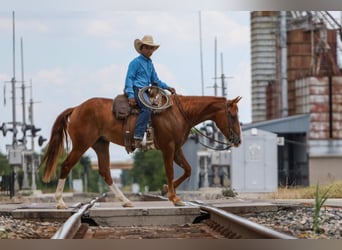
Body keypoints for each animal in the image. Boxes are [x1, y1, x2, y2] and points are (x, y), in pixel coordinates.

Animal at [38, 93, 242, 208]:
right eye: (232, 115)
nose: (238, 140)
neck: (179, 113)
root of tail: (76, 109)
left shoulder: (177, 149)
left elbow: (188, 170)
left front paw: (166, 190)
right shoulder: (168, 148)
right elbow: (170, 171)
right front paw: (174, 197)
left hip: (101, 144)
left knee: (105, 171)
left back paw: (125, 201)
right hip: (82, 145)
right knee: (66, 166)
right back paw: (60, 201)